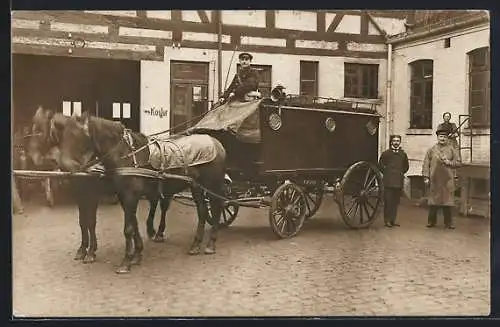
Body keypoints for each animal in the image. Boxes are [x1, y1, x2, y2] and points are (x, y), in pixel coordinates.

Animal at [27, 107, 168, 266]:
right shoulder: (80, 194)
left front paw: (90, 252)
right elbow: (83, 222)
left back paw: (156, 233)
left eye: (39, 130)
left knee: (159, 205)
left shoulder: (92, 194)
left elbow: (91, 222)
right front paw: (83, 250)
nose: (33, 159)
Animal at [55, 113, 226, 274]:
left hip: (213, 185)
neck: (127, 156)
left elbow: (126, 228)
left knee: (217, 208)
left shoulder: (126, 196)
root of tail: (216, 143)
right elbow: (132, 224)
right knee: (202, 211)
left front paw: (125, 261)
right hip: (196, 187)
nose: (64, 167)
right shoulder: (122, 196)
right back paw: (195, 245)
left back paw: (211, 244)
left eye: (77, 136)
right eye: (62, 136)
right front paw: (136, 255)